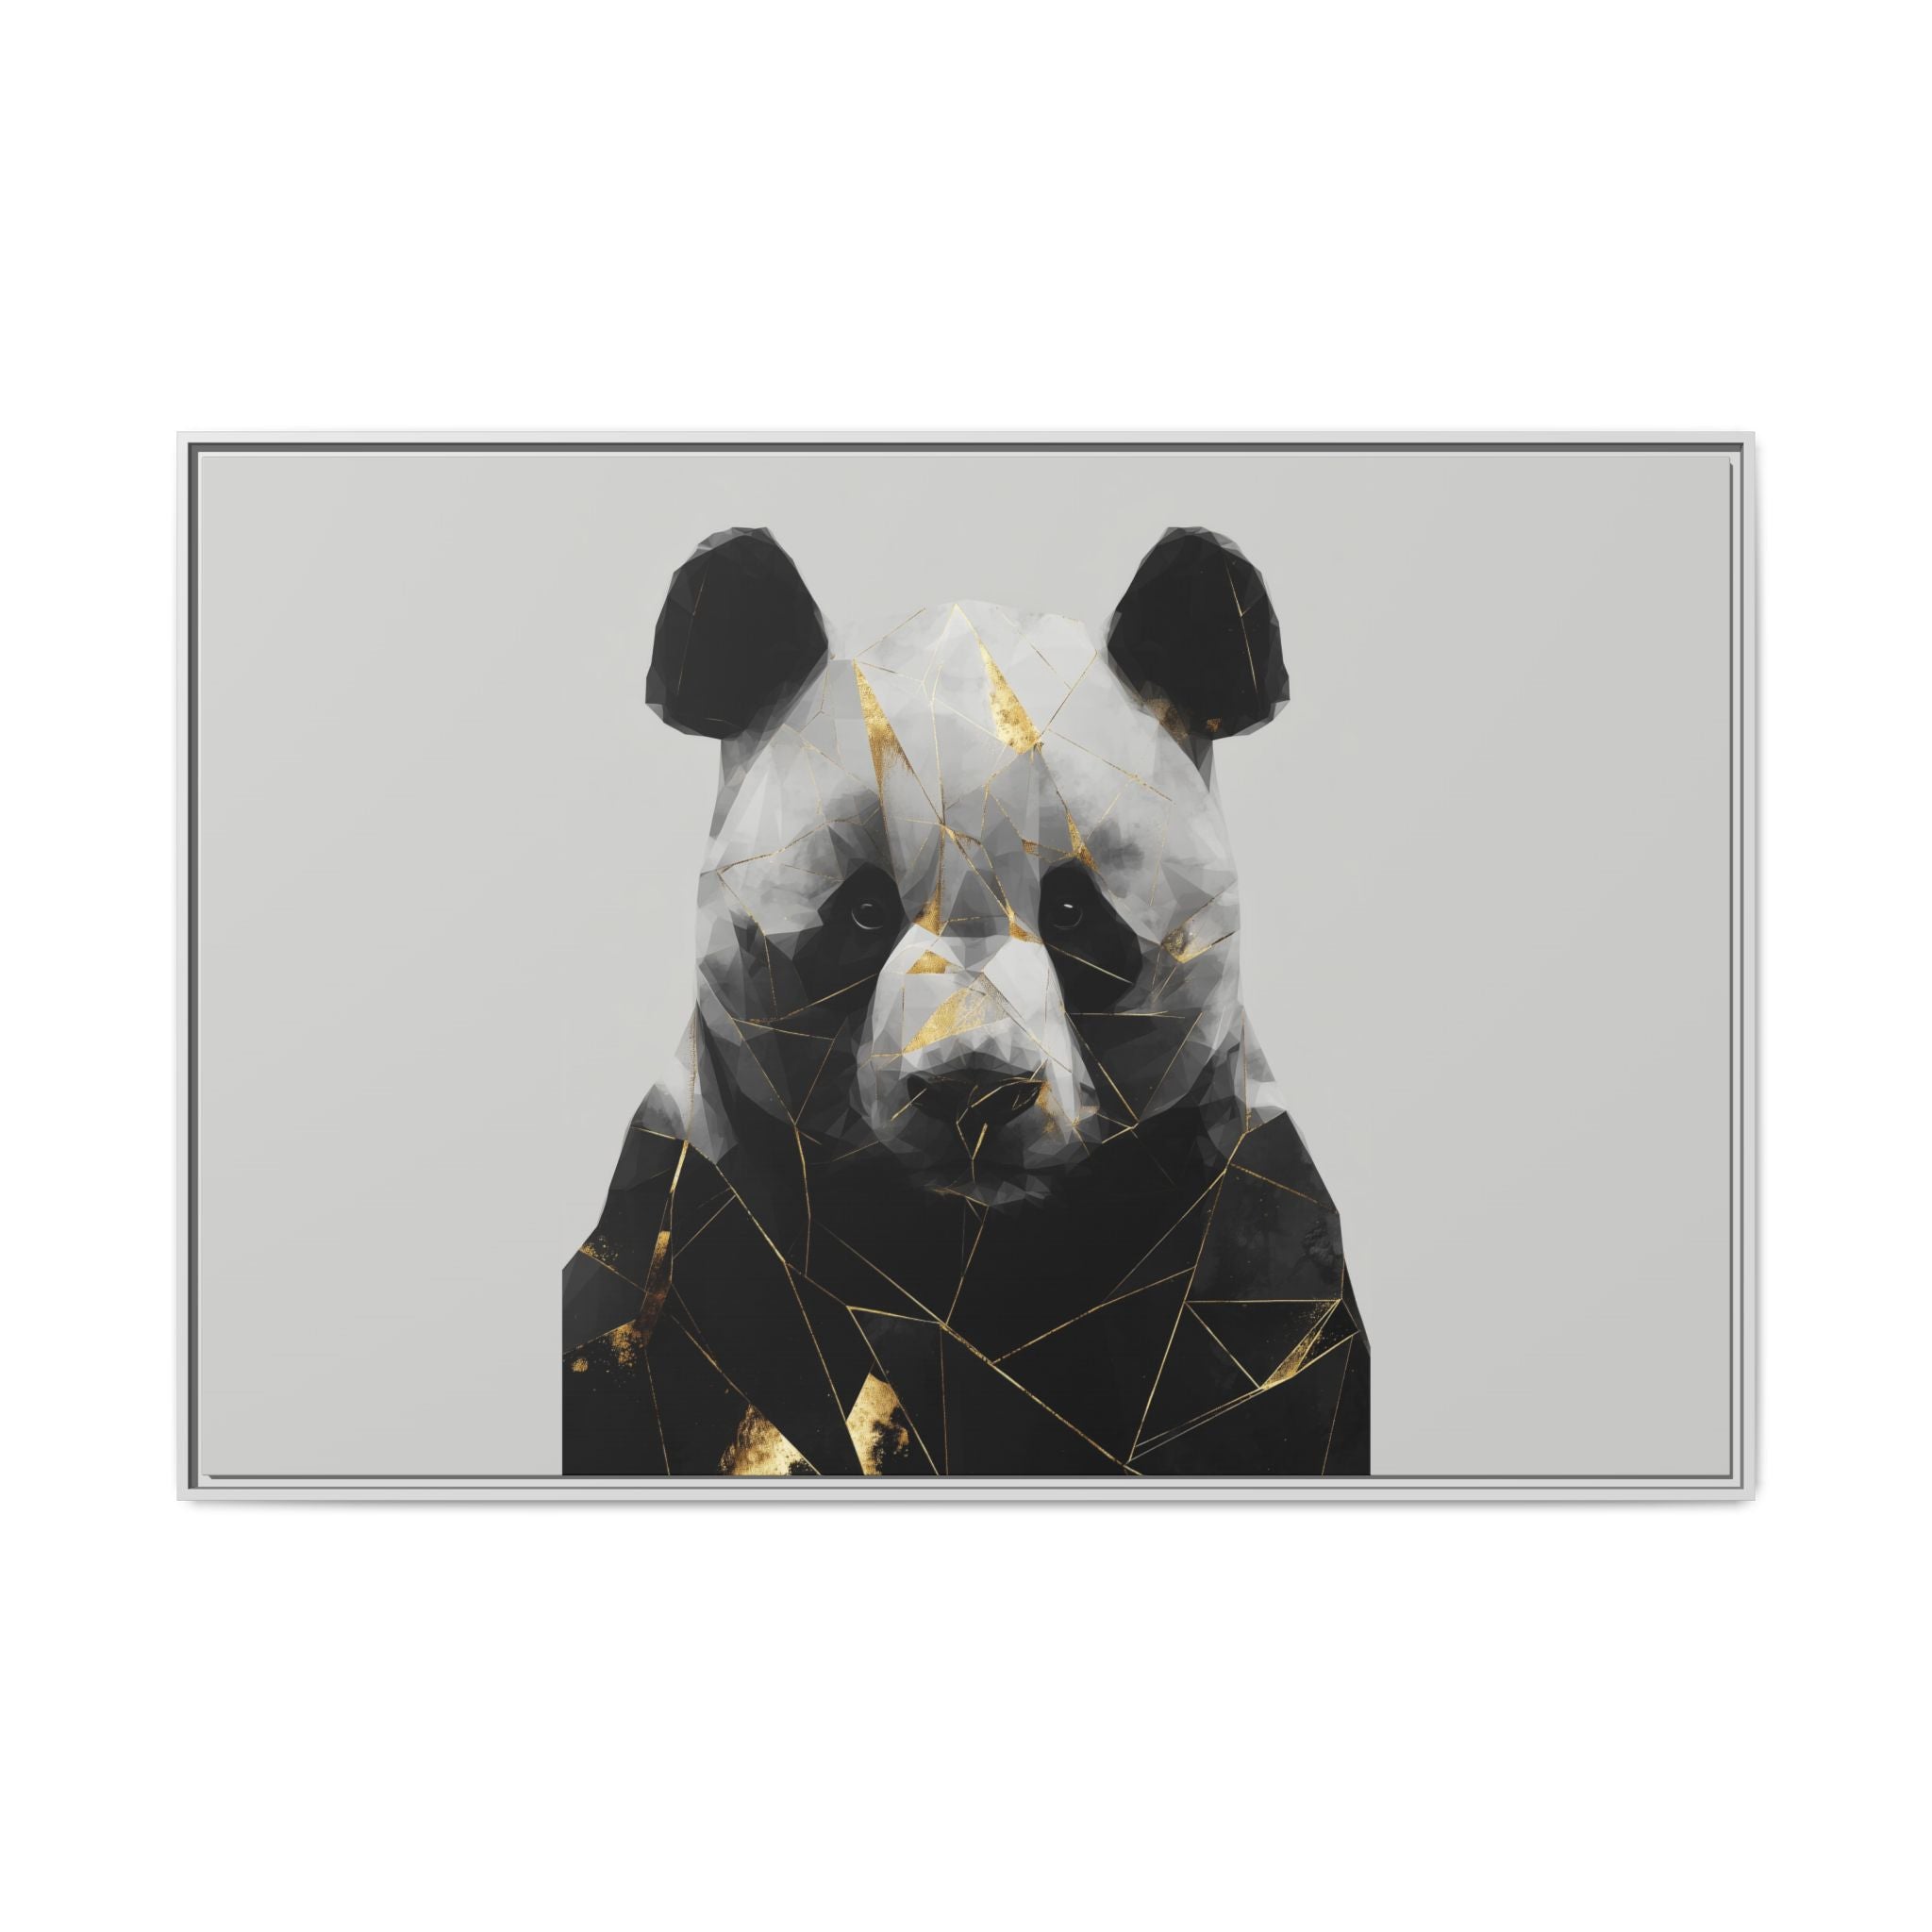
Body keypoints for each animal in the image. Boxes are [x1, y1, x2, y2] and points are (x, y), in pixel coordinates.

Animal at [562, 526, 1367, 1478]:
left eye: (1074, 912)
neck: (966, 1265)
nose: (974, 1091)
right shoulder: (692, 1235)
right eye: (864, 911)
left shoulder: (1245, 1254)